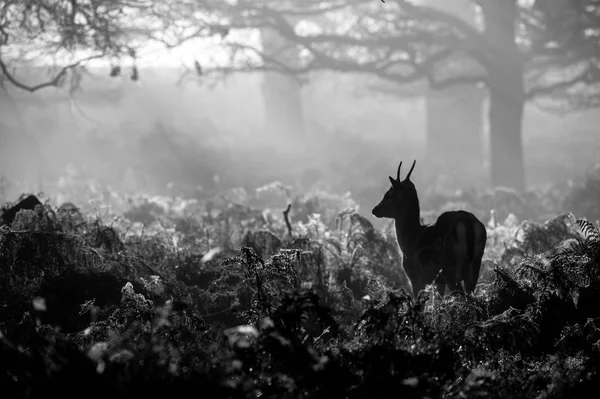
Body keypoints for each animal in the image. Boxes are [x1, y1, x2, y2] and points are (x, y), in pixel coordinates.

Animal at [372, 161, 490, 298]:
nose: (374, 210)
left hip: (450, 267)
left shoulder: (415, 277)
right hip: (475, 265)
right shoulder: (438, 281)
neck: (409, 242)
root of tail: (468, 224)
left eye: (388, 195)